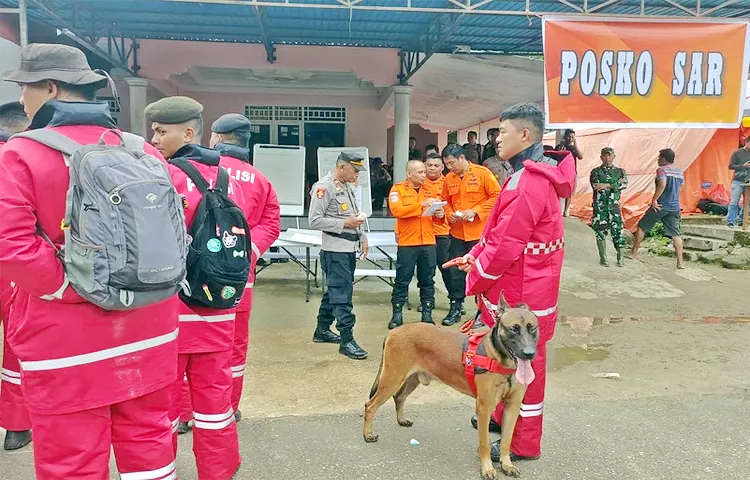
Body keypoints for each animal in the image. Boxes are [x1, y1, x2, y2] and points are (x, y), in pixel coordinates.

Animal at [364, 292, 540, 480]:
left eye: (532, 328)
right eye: (513, 328)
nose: (529, 354)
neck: (500, 359)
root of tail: (394, 331)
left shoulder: (512, 407)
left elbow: (507, 440)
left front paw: (506, 464)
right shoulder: (484, 408)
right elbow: (484, 444)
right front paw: (487, 468)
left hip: (412, 379)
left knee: (399, 397)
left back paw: (401, 420)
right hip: (391, 380)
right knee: (370, 406)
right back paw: (367, 434)